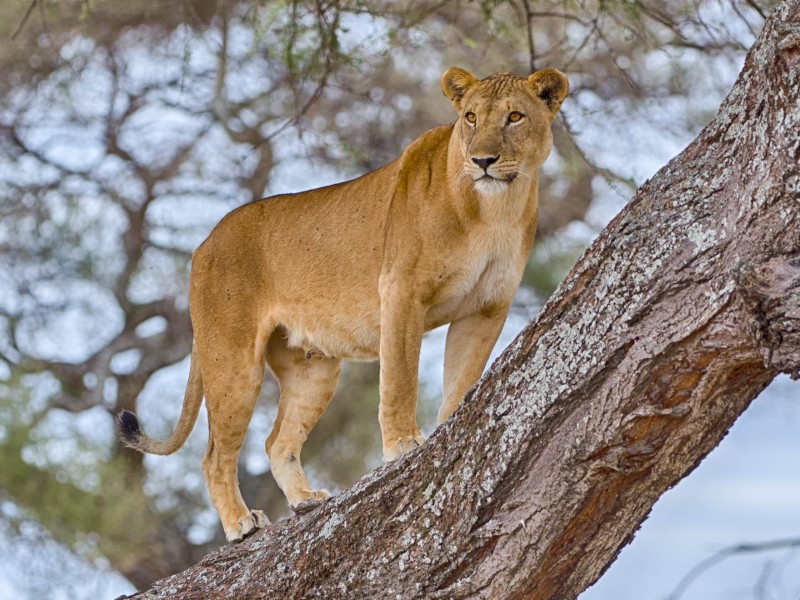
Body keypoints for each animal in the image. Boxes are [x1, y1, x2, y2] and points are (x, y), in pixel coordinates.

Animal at [117, 66, 568, 543]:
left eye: (515, 117)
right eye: (470, 117)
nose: (482, 160)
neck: (493, 210)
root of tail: (204, 244)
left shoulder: (486, 309)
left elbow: (462, 379)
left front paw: (452, 429)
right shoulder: (401, 291)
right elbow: (400, 379)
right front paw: (403, 444)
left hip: (312, 368)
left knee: (277, 443)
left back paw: (305, 501)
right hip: (232, 361)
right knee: (214, 456)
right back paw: (241, 524)